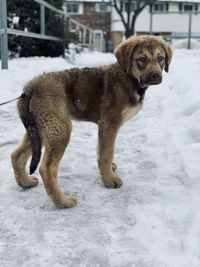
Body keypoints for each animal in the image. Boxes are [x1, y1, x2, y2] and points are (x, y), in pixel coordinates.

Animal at [10, 34, 173, 208]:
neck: (128, 77)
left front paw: (109, 170)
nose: (156, 76)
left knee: (16, 155)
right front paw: (109, 180)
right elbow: (107, 154)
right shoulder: (109, 123)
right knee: (46, 168)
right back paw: (63, 202)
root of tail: (31, 87)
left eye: (161, 58)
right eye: (141, 59)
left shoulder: (103, 126)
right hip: (59, 129)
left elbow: (102, 151)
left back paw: (25, 182)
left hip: (42, 127)